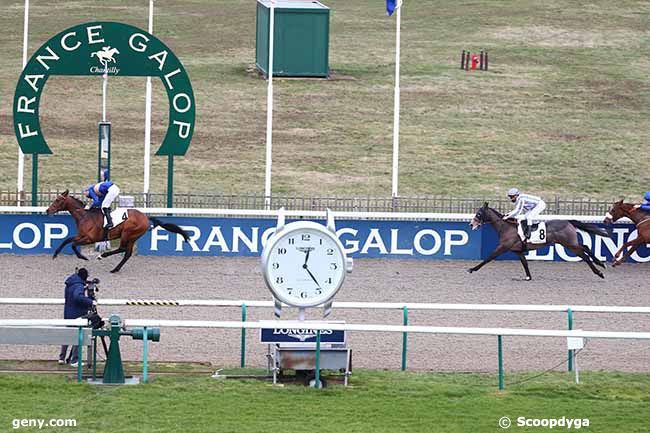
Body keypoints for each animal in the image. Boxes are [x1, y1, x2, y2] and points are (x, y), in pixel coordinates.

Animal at [46, 190, 190, 272]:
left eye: (58, 200)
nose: (48, 210)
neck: (85, 216)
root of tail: (145, 217)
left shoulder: (89, 238)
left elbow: (73, 245)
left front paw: (83, 257)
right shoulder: (81, 236)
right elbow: (67, 240)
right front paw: (55, 254)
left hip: (128, 233)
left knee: (122, 249)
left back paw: (103, 256)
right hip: (132, 237)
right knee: (127, 253)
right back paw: (115, 268)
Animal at [466, 202, 608, 280]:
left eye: (479, 214)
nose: (471, 224)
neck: (506, 227)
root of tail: (568, 221)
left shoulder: (503, 247)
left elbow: (488, 258)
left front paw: (472, 269)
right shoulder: (517, 251)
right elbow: (525, 263)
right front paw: (528, 277)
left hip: (569, 244)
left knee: (584, 253)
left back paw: (600, 270)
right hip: (570, 243)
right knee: (585, 248)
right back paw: (600, 266)